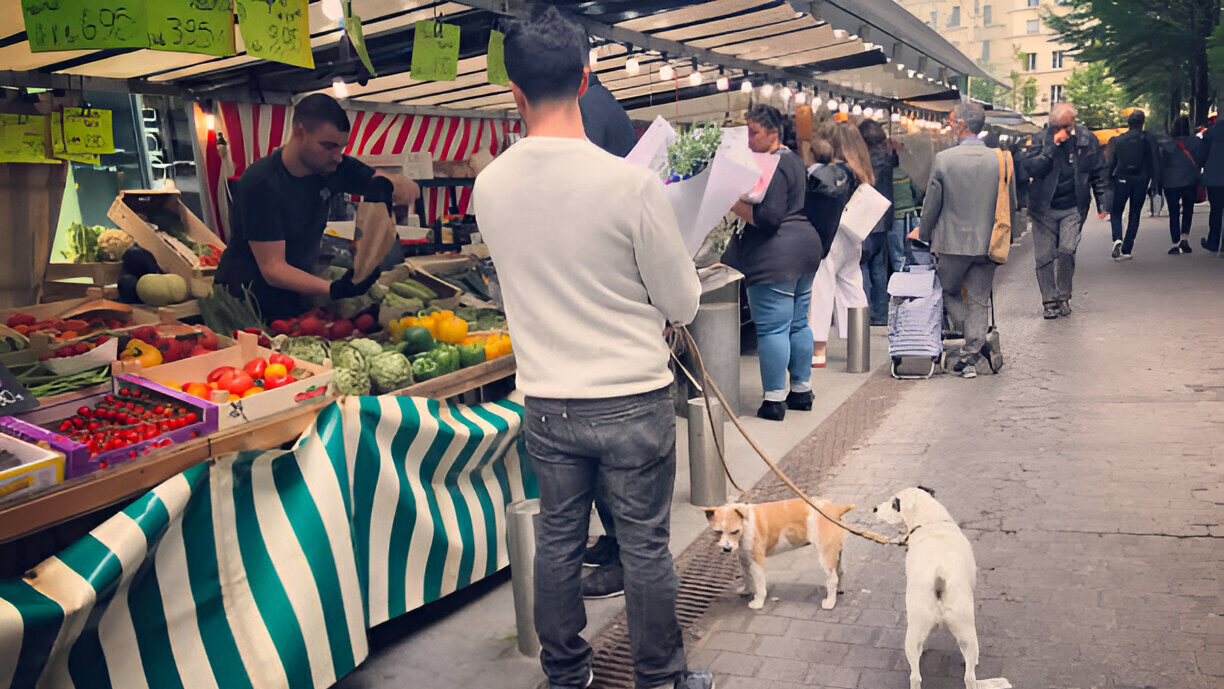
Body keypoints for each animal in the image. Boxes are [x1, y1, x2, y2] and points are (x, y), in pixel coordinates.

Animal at [705, 499, 856, 611]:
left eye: (734, 531)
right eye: (718, 532)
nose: (727, 549)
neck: (746, 522)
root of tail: (835, 509)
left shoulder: (757, 561)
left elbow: (760, 585)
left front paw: (758, 602)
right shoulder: (745, 559)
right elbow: (747, 577)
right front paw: (746, 590)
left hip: (825, 555)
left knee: (832, 579)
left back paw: (830, 602)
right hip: (835, 554)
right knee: (839, 572)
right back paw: (837, 591)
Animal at [871, 484, 993, 689]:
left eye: (893, 503)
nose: (874, 509)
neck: (930, 522)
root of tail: (939, 578)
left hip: (916, 633)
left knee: (915, 676)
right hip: (966, 632)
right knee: (969, 676)